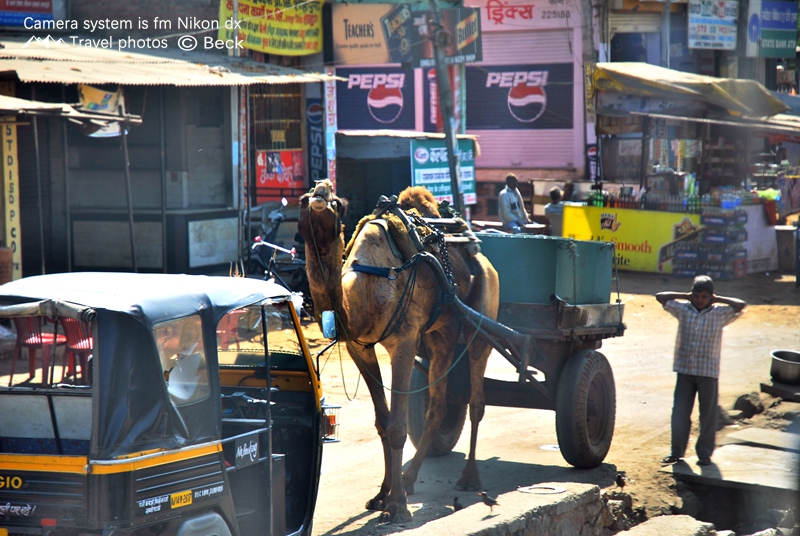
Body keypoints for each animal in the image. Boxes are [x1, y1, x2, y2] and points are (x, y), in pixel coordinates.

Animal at [298, 181, 496, 524]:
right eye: (303, 199)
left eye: (337, 202)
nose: (321, 193)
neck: (366, 285)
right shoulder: (359, 346)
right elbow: (382, 421)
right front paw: (382, 495)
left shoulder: (403, 341)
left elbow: (397, 427)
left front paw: (397, 507)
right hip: (439, 333)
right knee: (438, 403)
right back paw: (410, 478)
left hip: (481, 317)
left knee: (476, 400)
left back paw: (469, 478)